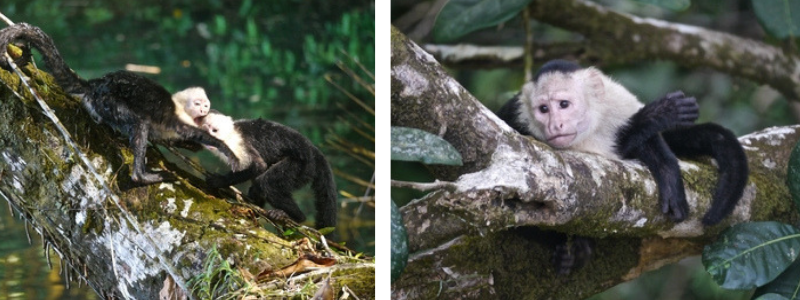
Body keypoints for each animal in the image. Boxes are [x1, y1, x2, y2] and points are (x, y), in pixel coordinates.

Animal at [0, 23, 238, 184]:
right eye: (199, 103)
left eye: (206, 104)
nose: (206, 108)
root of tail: (95, 84)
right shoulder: (177, 119)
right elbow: (195, 135)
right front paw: (227, 150)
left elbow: (188, 143)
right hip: (109, 102)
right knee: (139, 124)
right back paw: (142, 176)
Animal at [202, 110, 340, 230]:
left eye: (213, 129)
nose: (208, 136)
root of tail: (313, 150)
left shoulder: (237, 143)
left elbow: (258, 166)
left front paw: (219, 181)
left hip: (302, 166)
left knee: (267, 183)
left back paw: (295, 216)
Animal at [500, 59, 752, 276]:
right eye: (543, 109)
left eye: (563, 105)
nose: (554, 125)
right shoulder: (517, 114)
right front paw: (654, 116)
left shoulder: (618, 100)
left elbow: (646, 142)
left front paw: (667, 171)